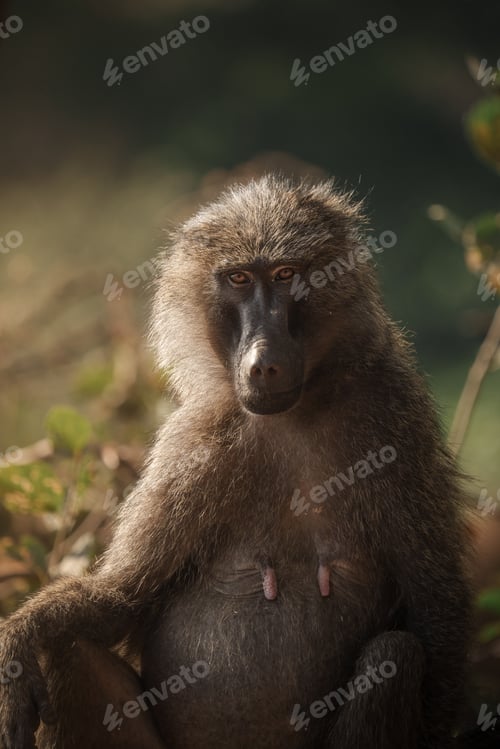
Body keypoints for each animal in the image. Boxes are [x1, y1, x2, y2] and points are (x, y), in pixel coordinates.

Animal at [0, 175, 476, 749]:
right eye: (239, 278)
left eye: (286, 274)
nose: (263, 362)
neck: (295, 413)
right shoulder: (193, 439)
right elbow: (121, 598)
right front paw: (18, 648)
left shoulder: (395, 414)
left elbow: (435, 600)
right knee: (65, 647)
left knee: (395, 655)